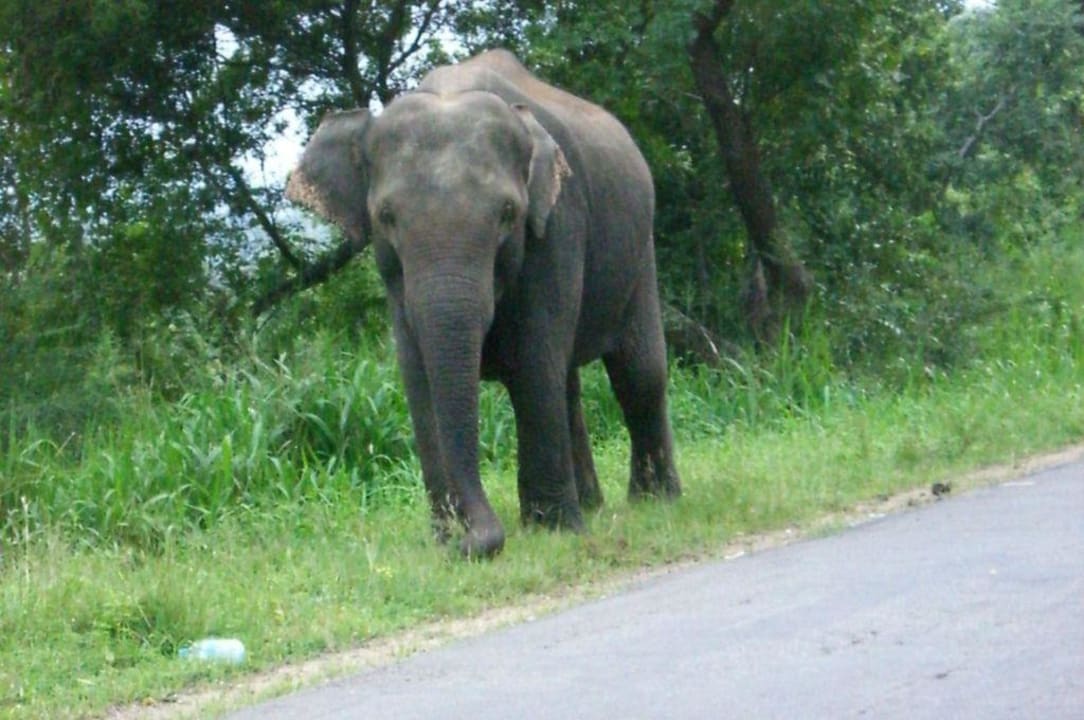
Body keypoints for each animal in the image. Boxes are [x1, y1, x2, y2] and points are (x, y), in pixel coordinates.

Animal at [286, 49, 680, 557]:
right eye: (386, 217)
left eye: (507, 214)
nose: (473, 539)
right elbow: (419, 380)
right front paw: (447, 541)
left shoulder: (558, 225)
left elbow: (533, 363)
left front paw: (551, 530)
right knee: (569, 383)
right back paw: (591, 506)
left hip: (639, 250)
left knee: (638, 373)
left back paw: (654, 501)